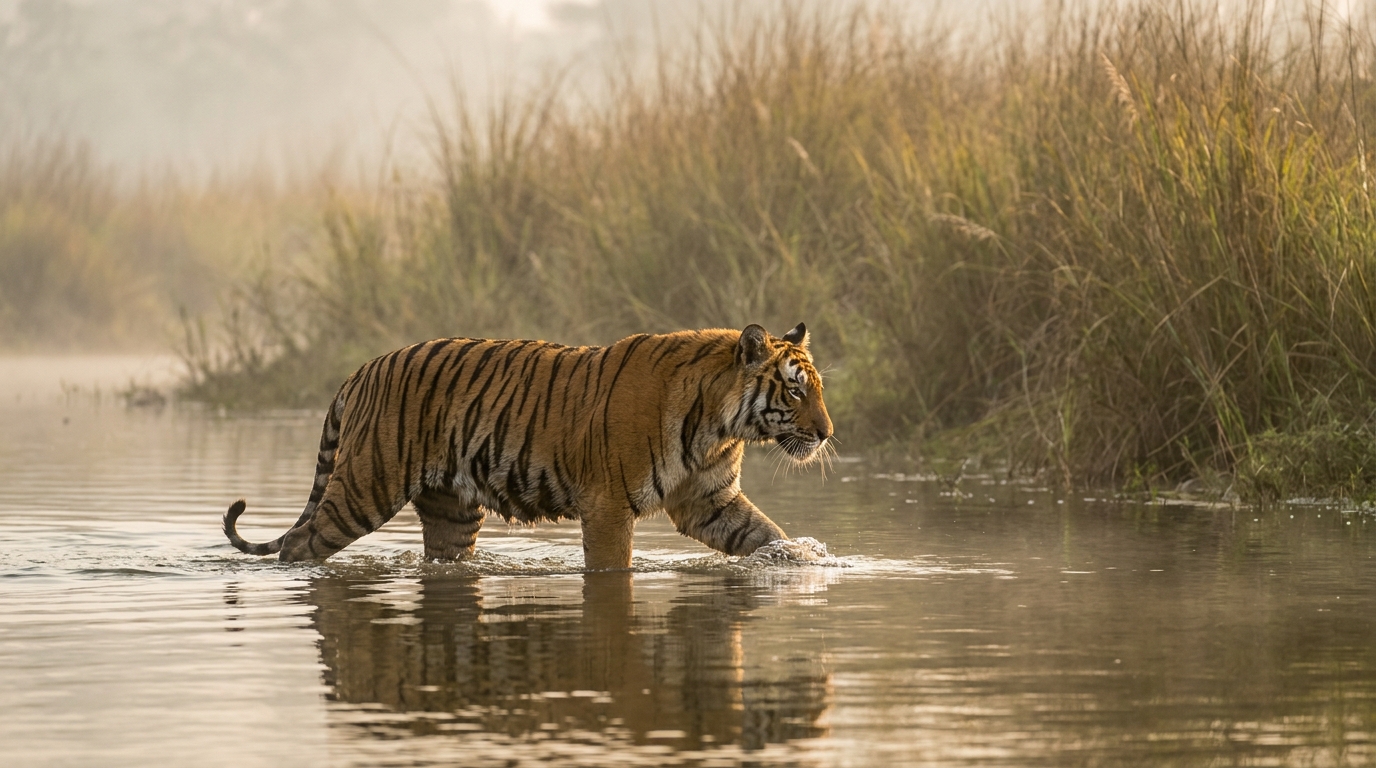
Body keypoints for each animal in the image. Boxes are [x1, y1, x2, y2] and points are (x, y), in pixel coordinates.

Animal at [222, 323, 833, 570]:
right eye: (794, 390)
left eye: (817, 388)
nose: (827, 433)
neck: (719, 426)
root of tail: (362, 370)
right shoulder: (608, 506)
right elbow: (611, 569)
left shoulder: (708, 501)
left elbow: (766, 534)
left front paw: (802, 559)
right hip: (365, 486)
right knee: (299, 544)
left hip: (452, 513)